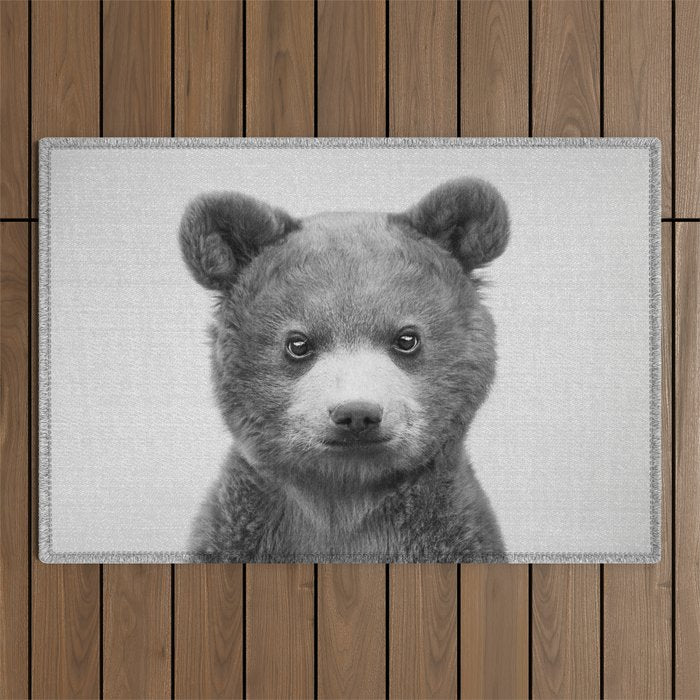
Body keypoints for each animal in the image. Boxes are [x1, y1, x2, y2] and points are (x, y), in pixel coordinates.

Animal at [179, 177, 509, 563]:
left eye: (406, 338)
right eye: (298, 343)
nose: (357, 414)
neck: (345, 495)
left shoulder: (451, 532)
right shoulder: (239, 531)